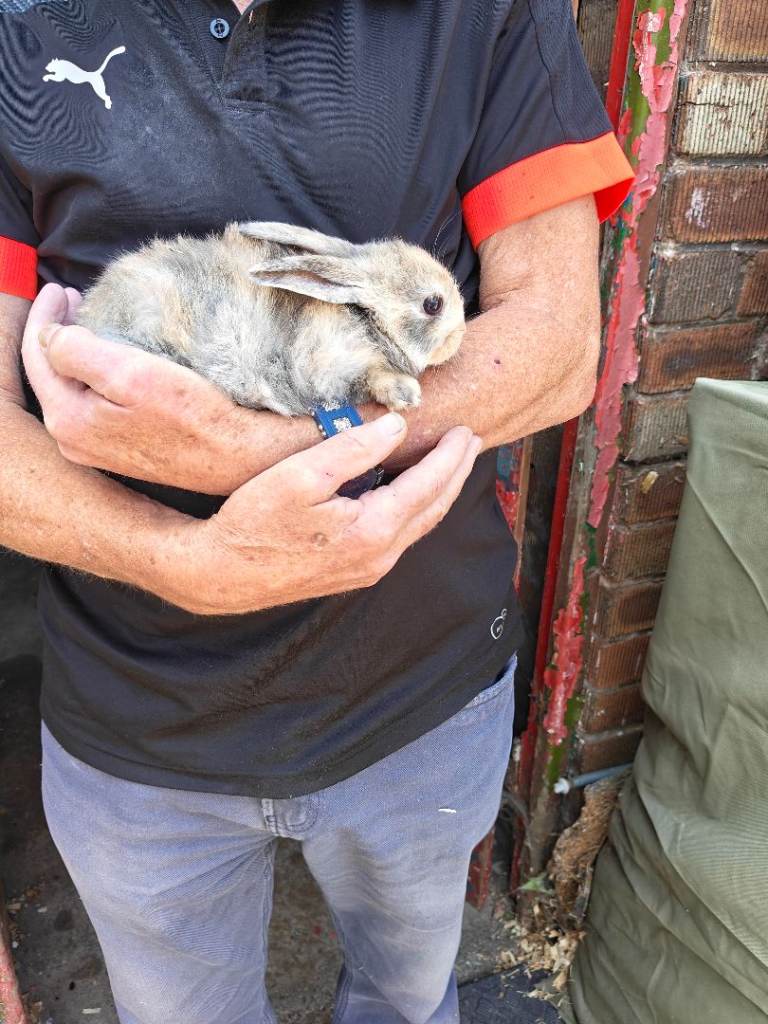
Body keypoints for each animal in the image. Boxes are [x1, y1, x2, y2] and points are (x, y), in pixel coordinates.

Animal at [76, 221, 466, 415]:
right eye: (433, 304)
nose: (460, 334)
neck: (367, 318)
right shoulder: (327, 362)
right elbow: (372, 376)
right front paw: (406, 394)